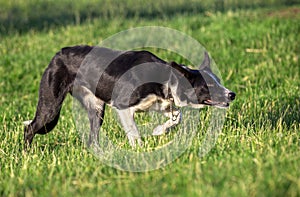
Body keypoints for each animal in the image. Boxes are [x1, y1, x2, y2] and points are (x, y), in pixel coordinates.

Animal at [23, 45, 236, 148]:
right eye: (208, 86)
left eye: (218, 81)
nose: (232, 94)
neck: (165, 80)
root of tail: (58, 54)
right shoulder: (123, 106)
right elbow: (134, 132)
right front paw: (140, 151)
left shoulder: (162, 104)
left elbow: (177, 117)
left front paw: (159, 130)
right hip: (50, 107)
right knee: (30, 128)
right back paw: (27, 154)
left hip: (96, 110)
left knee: (93, 137)